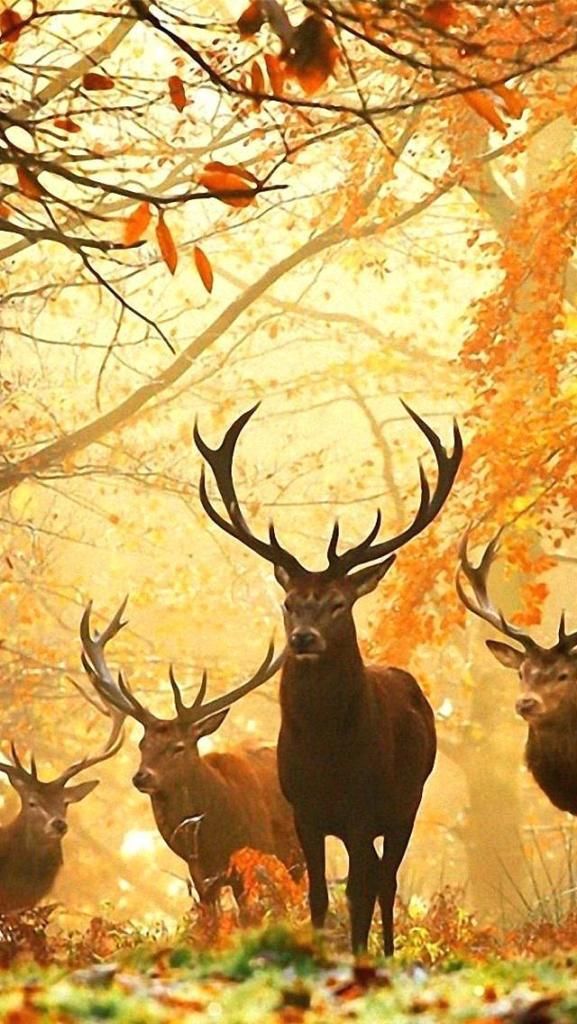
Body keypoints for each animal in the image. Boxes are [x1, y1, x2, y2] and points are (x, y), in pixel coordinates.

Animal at [194, 402, 462, 954]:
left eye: (338, 603)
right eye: (289, 602)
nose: (303, 638)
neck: (327, 755)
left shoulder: (363, 809)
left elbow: (359, 893)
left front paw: (359, 956)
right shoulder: (305, 811)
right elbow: (318, 895)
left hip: (407, 802)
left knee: (386, 880)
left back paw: (386, 951)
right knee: (377, 876)